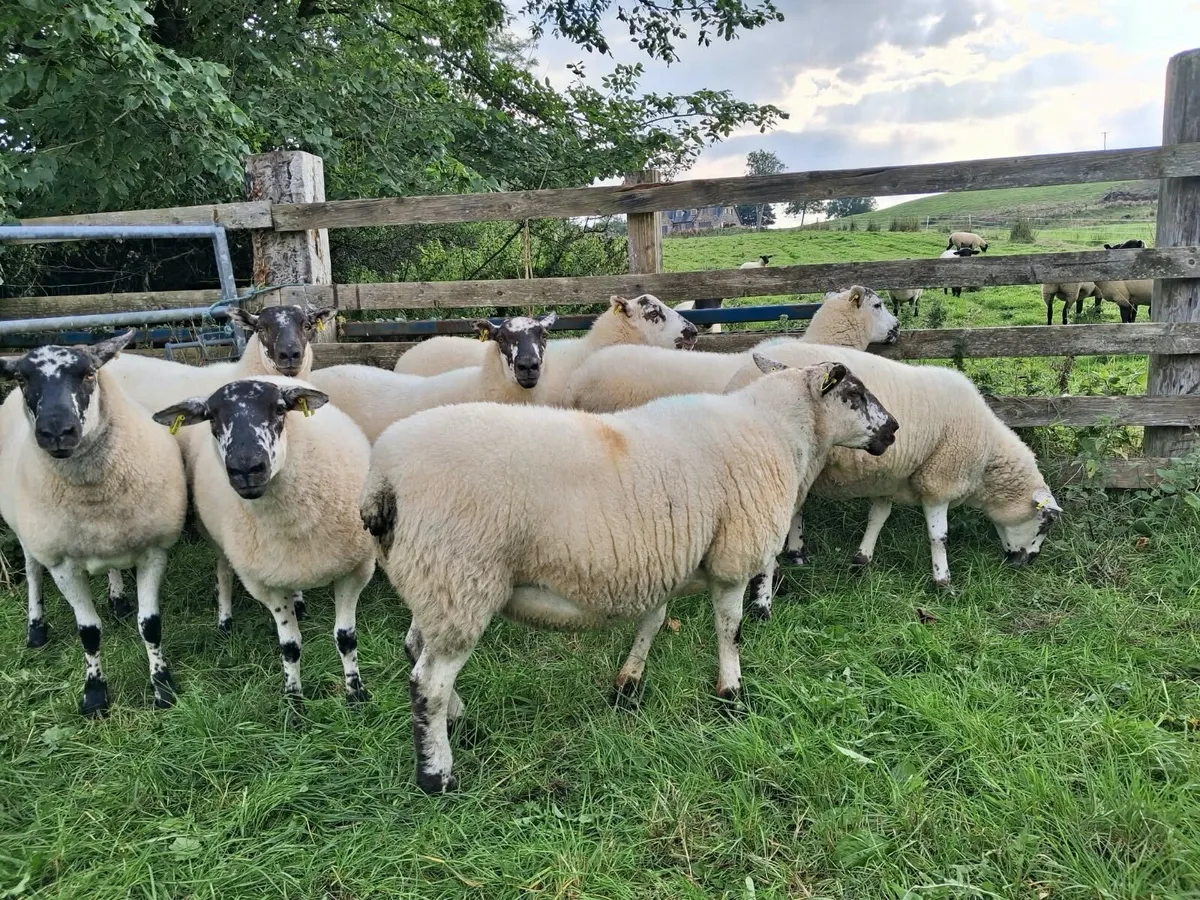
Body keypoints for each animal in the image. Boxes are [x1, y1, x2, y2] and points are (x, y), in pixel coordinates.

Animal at [0, 331, 188, 716]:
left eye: (89, 373)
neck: (94, 498)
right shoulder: (61, 565)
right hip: (28, 535)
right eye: (23, 379)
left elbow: (150, 625)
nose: (57, 431)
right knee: (32, 571)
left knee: (110, 566)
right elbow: (88, 631)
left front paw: (163, 687)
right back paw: (36, 628)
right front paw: (95, 694)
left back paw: (117, 598)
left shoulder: (153, 550)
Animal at [152, 377, 375, 701]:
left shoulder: (356, 570)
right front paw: (294, 699)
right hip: (219, 541)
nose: (246, 469)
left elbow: (346, 639)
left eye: (281, 409)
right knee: (223, 573)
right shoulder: (265, 584)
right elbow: (290, 646)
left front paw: (356, 694)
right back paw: (225, 620)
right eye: (212, 417)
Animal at [359, 355, 898, 792]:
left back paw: (461, 722)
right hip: (461, 578)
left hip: (434, 582)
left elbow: (653, 622)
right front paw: (731, 695)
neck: (778, 433)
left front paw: (628, 684)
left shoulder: (664, 558)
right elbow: (730, 630)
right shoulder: (732, 558)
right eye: (854, 394)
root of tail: (381, 479)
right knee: (428, 683)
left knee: (415, 650)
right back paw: (437, 774)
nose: (893, 428)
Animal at [720, 342, 1062, 618]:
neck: (987, 456)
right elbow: (939, 537)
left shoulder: (890, 480)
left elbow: (877, 518)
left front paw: (862, 559)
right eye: (1045, 523)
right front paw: (943, 582)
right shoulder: (939, 481)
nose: (1027, 562)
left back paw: (796, 554)